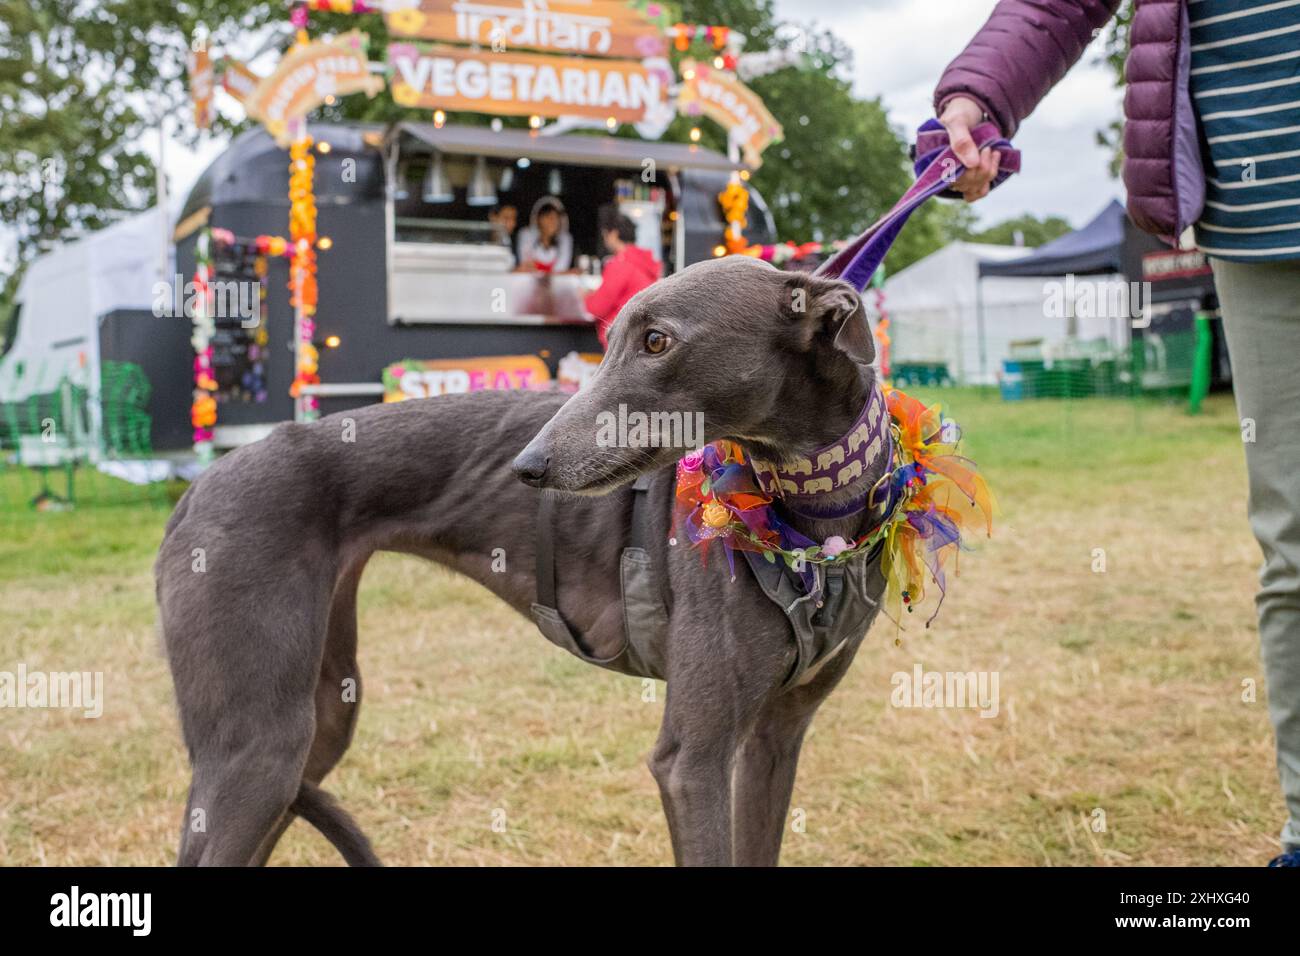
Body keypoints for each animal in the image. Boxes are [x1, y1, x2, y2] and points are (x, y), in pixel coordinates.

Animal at [157, 254, 894, 868]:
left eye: (656, 341)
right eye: (612, 340)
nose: (528, 465)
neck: (811, 514)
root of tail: (197, 488)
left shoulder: (776, 739)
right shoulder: (693, 761)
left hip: (319, 720)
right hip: (260, 748)